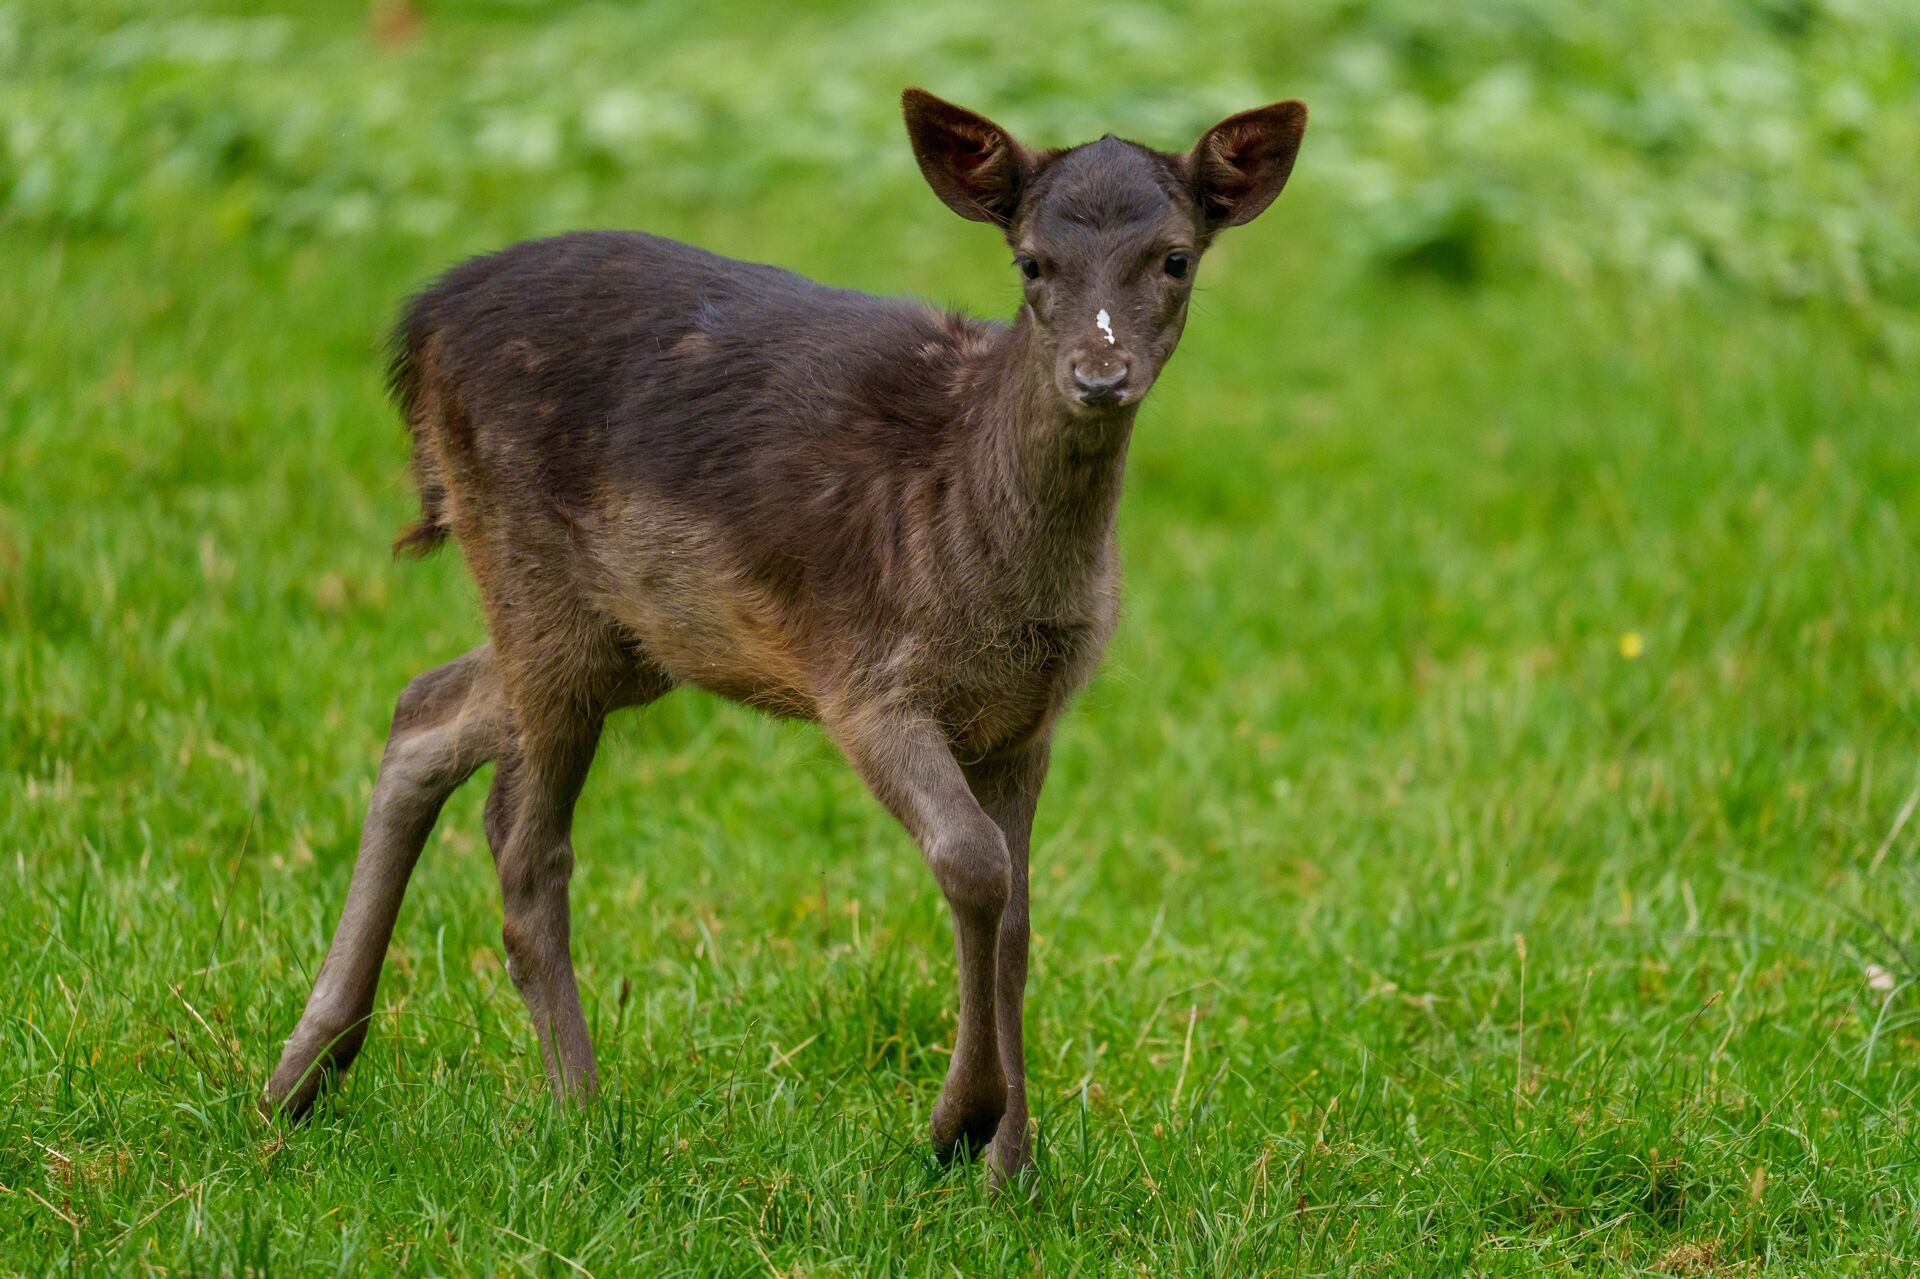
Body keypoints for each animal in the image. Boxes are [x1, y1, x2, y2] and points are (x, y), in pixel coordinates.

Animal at [266, 87, 1305, 1182]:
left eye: (1175, 257)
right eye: (1031, 262)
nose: (1099, 374)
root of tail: (418, 327)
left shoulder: (1029, 718)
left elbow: (1020, 914)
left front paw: (1013, 1166)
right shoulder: (864, 677)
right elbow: (972, 863)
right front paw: (959, 1122)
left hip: (621, 637)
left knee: (423, 707)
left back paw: (302, 1073)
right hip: (533, 576)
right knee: (526, 845)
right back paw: (582, 1111)